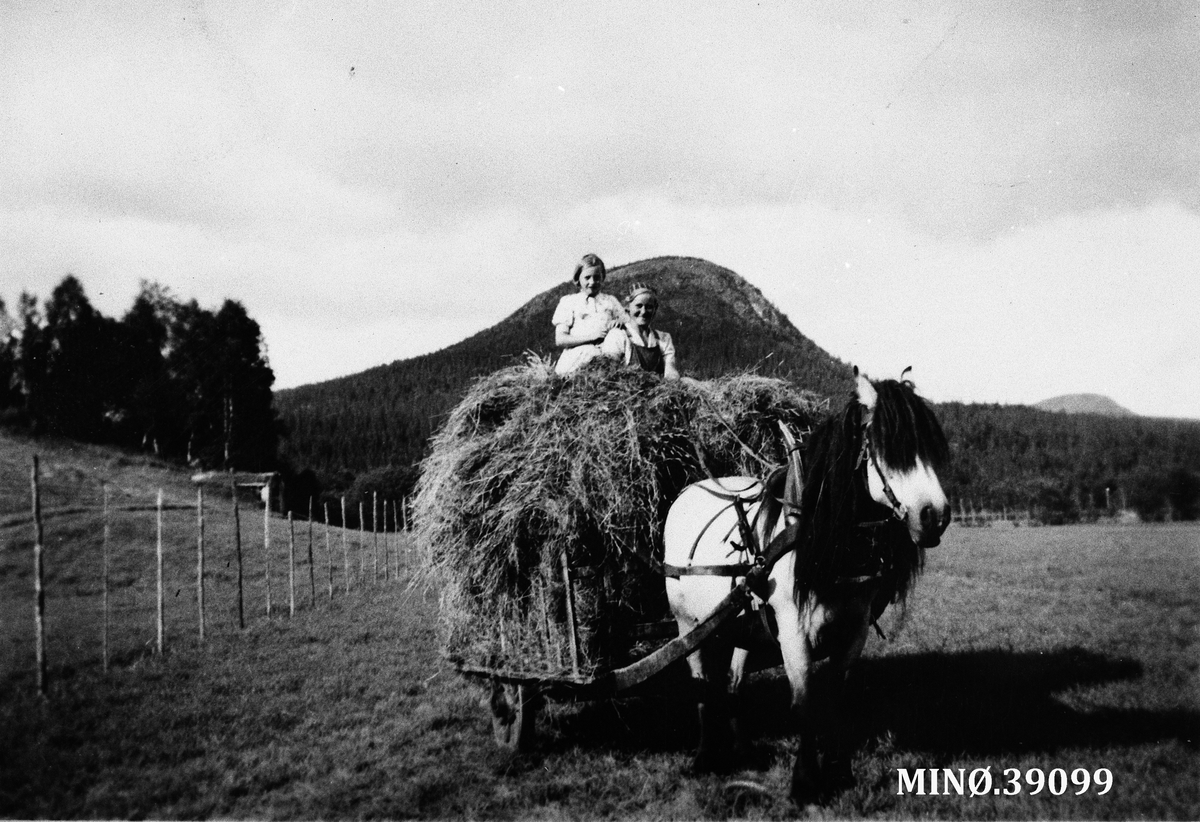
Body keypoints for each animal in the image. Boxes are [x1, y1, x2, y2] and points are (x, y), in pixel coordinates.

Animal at [662, 369, 950, 806]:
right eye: (890, 447)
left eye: (931, 448)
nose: (936, 517)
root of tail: (686, 493)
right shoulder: (794, 632)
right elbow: (803, 704)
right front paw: (804, 783)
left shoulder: (854, 630)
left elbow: (836, 699)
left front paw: (840, 774)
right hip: (688, 625)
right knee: (700, 684)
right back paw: (704, 756)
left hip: (743, 625)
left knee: (732, 684)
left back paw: (744, 751)